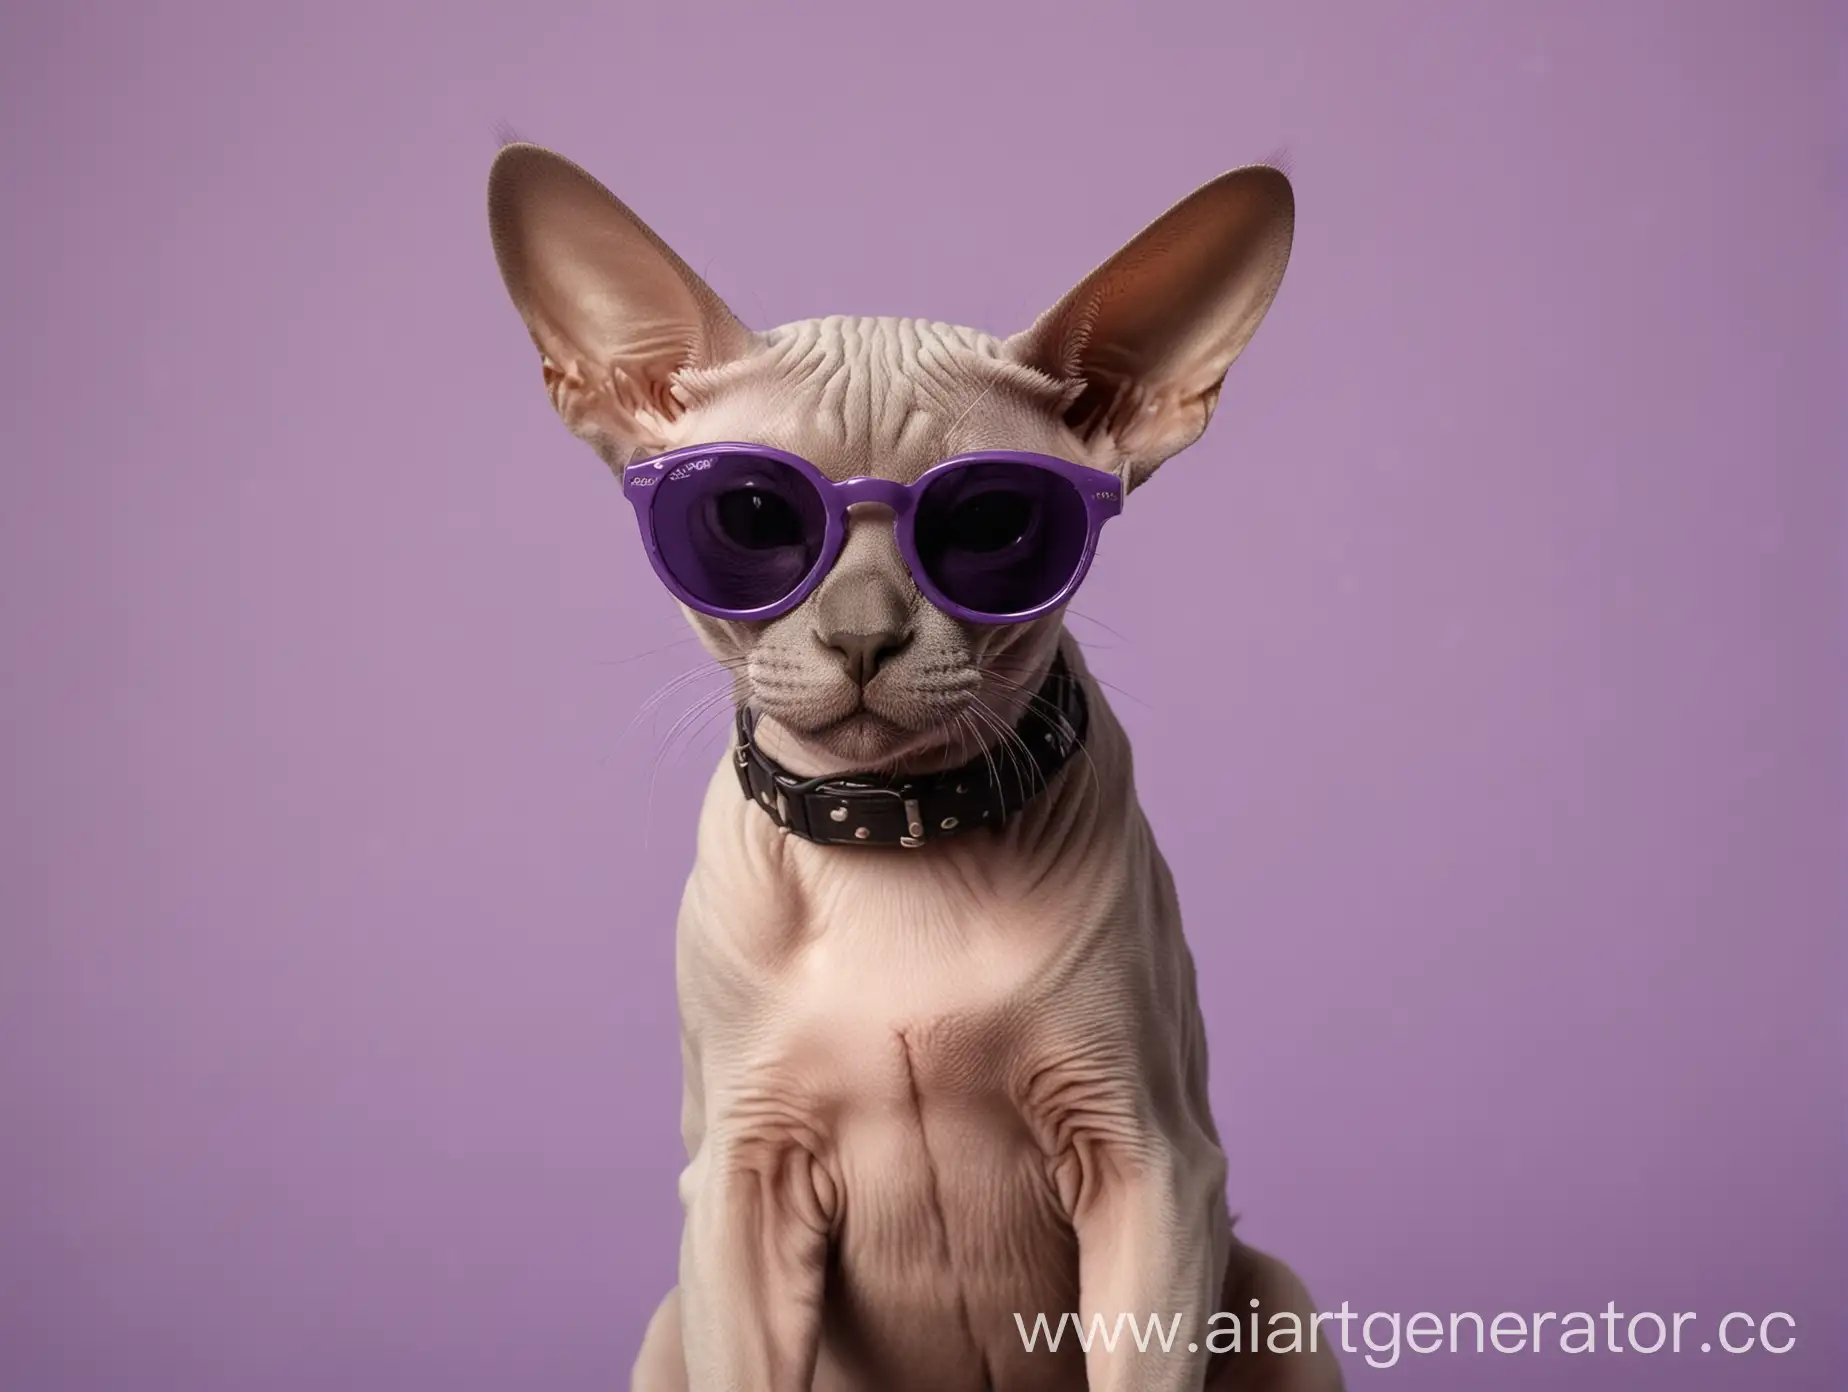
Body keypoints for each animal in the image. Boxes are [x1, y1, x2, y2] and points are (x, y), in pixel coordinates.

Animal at [484, 144, 1337, 1390]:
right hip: (669, 1321)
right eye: (749, 517)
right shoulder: (742, 1186)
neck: (893, 834)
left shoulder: (1151, 1171)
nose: (862, 637)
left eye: (992, 525)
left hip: (1276, 1296)